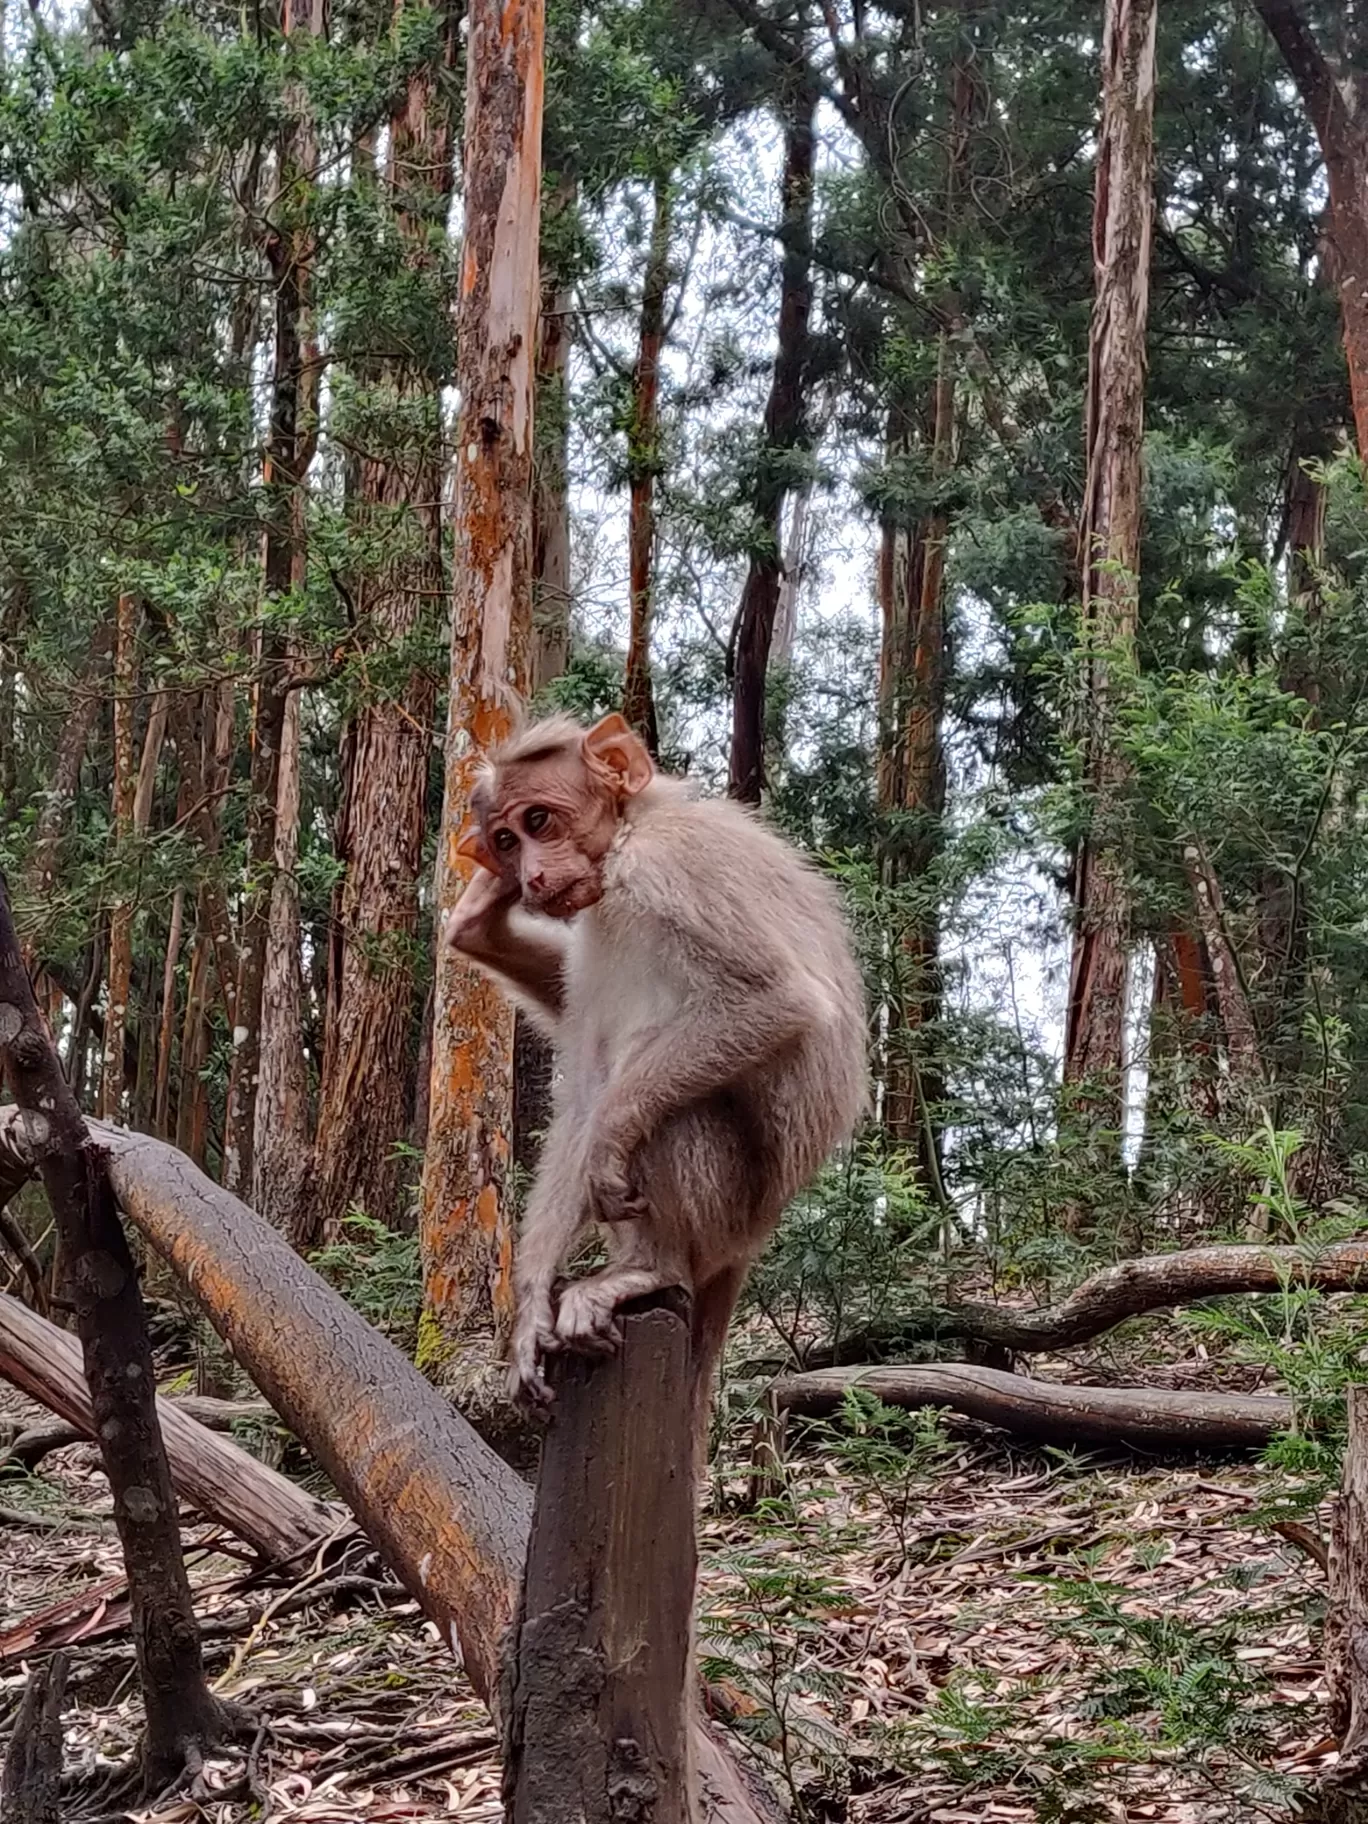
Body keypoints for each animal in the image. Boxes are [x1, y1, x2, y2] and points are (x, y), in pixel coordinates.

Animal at [446, 704, 868, 1430]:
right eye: (503, 841)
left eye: (538, 822)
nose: (530, 877)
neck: (624, 838)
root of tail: (753, 1239)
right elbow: (583, 1094)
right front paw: (530, 1308)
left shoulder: (669, 864)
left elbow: (776, 998)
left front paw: (612, 1134)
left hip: (729, 1213)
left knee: (671, 1114)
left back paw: (651, 1265)